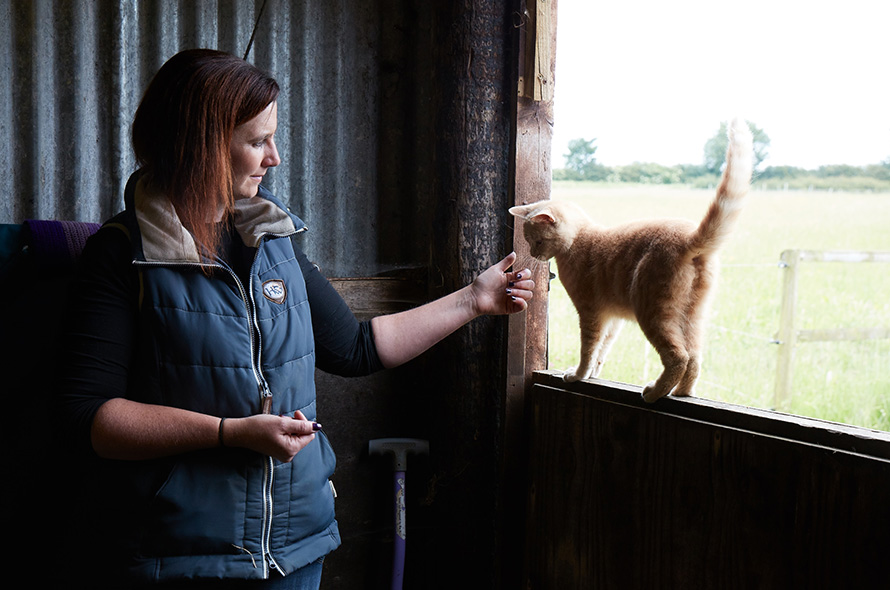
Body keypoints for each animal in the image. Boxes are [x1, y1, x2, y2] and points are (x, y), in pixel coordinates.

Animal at [510, 121, 752, 408]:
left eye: (536, 241)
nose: (533, 253)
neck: (578, 239)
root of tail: (689, 237)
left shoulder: (590, 313)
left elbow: (588, 349)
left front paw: (578, 375)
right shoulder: (612, 319)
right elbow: (601, 350)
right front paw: (590, 374)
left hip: (652, 311)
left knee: (679, 357)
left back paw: (656, 392)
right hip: (692, 315)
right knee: (694, 356)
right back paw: (682, 392)